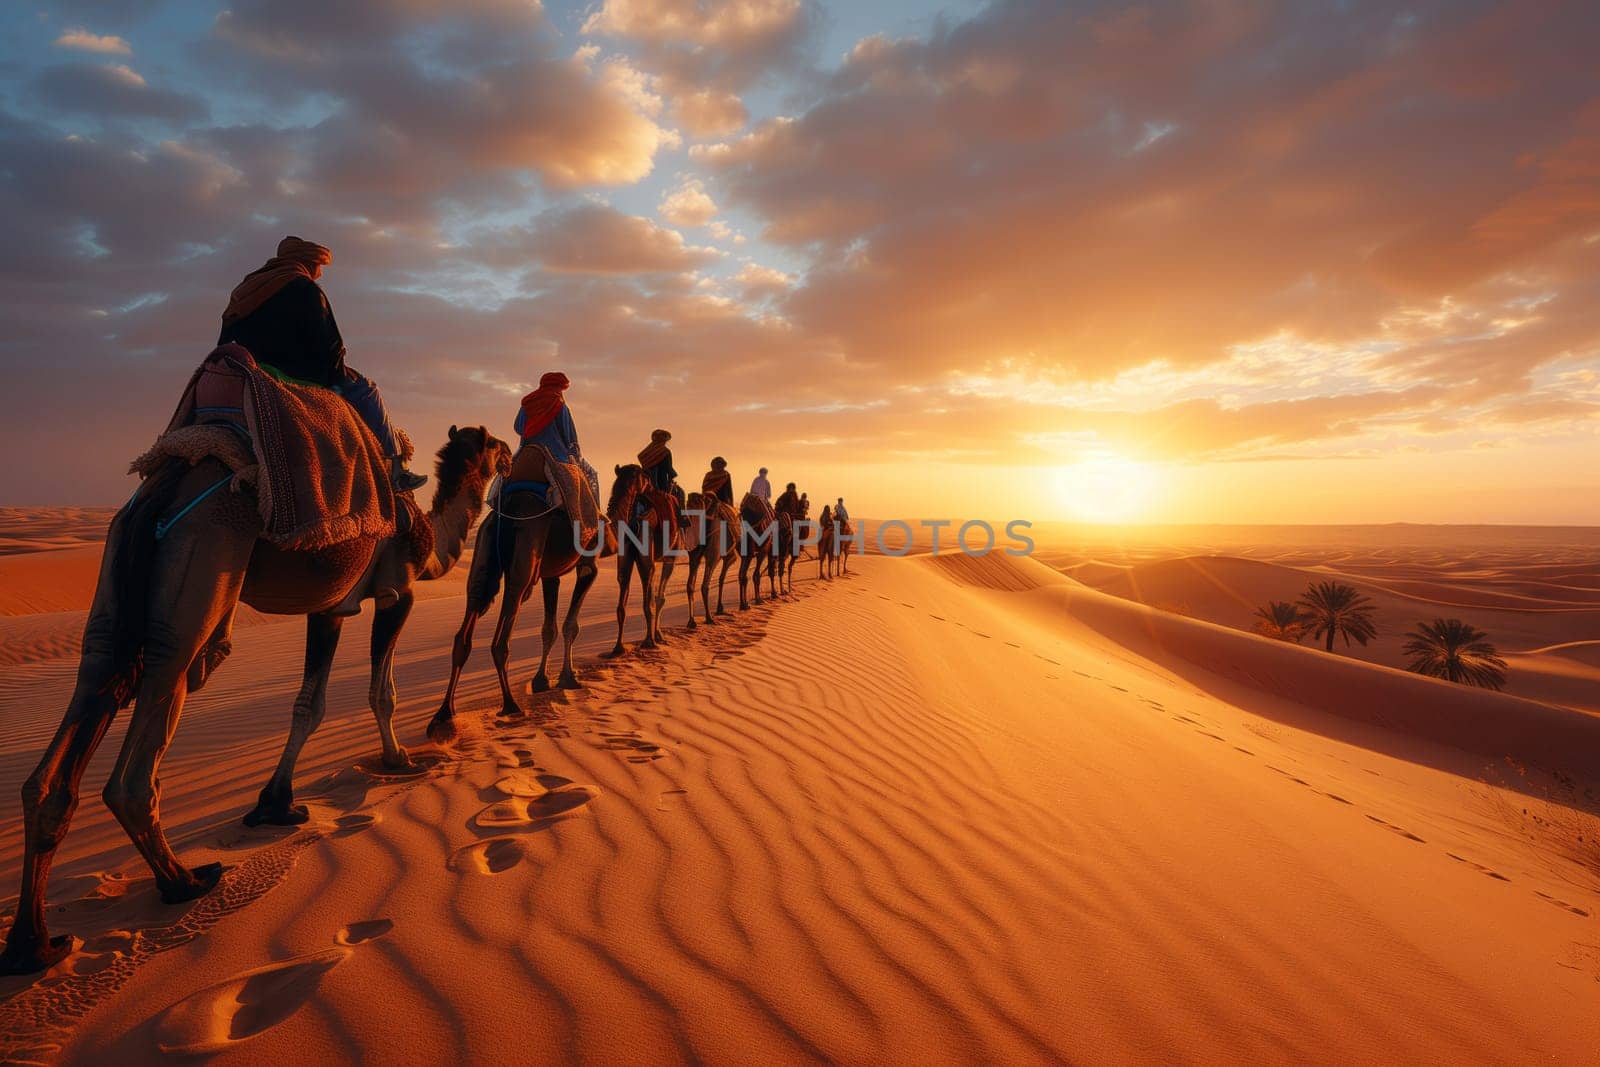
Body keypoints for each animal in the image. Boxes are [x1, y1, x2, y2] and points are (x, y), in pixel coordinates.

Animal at [0, 422, 508, 972]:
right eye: (494, 445)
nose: (510, 453)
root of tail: (168, 482)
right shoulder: (398, 592)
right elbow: (380, 690)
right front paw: (399, 761)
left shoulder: (330, 605)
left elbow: (309, 704)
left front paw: (275, 804)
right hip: (202, 566)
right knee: (153, 709)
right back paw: (184, 882)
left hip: (115, 584)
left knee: (93, 682)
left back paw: (34, 943)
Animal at [425, 467, 601, 742]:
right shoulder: (587, 566)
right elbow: (570, 625)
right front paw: (567, 678)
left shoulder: (550, 575)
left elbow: (549, 628)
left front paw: (542, 681)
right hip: (522, 568)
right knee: (501, 639)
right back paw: (510, 705)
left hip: (484, 559)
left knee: (463, 633)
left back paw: (444, 715)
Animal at [601, 467, 675, 659]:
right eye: (645, 476)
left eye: (638, 477)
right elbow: (629, 605)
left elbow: (647, 601)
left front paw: (650, 640)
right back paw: (653, 638)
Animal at [684, 492, 739, 627]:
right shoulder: (729, 556)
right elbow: (721, 578)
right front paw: (720, 607)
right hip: (714, 553)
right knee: (704, 585)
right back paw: (709, 618)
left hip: (694, 554)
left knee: (690, 585)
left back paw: (691, 621)